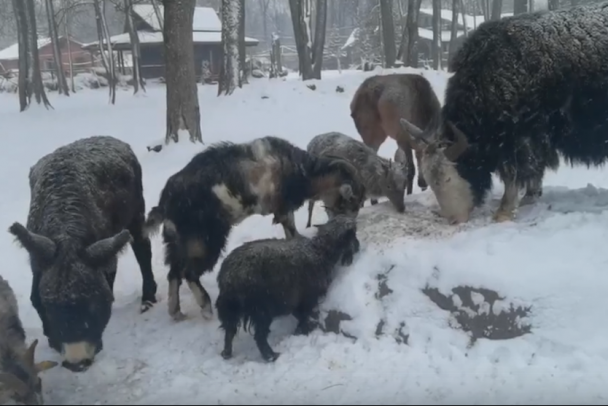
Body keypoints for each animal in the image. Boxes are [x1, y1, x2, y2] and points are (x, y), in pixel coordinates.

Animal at [8, 136, 158, 372]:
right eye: (51, 307)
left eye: (94, 305)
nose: (76, 363)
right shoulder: (39, 260)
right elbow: (34, 296)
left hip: (136, 212)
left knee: (143, 249)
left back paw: (148, 299)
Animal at [215, 216, 358, 362]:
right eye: (353, 233)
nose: (358, 247)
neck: (320, 251)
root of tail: (229, 278)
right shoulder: (307, 297)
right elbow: (304, 315)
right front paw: (302, 330)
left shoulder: (294, 299)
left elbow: (300, 315)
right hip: (261, 310)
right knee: (259, 336)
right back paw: (271, 356)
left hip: (230, 309)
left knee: (229, 331)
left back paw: (226, 353)